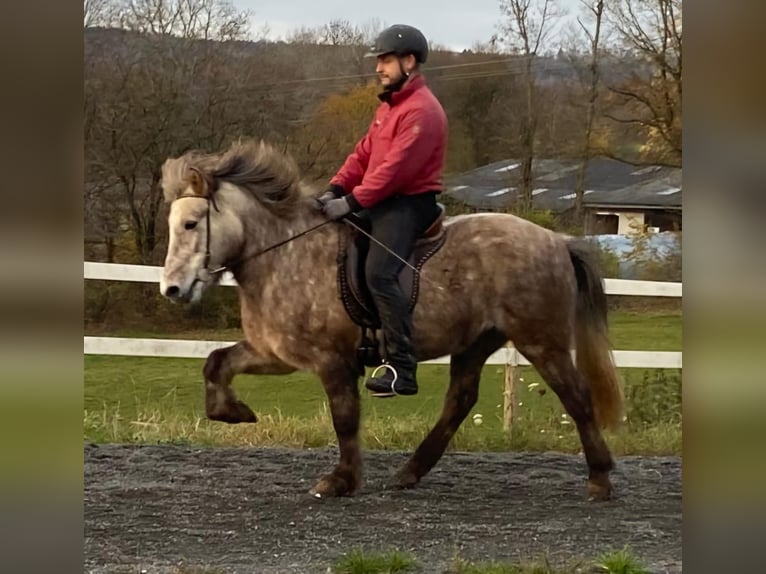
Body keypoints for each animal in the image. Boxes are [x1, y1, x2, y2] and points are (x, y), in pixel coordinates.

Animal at [159, 139, 624, 501]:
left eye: (192, 223)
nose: (172, 289)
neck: (284, 253)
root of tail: (557, 240)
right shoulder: (275, 352)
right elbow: (216, 362)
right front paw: (231, 412)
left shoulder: (331, 359)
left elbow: (345, 418)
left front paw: (341, 480)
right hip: (476, 343)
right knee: (460, 401)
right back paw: (410, 472)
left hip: (541, 340)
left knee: (577, 398)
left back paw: (600, 479)